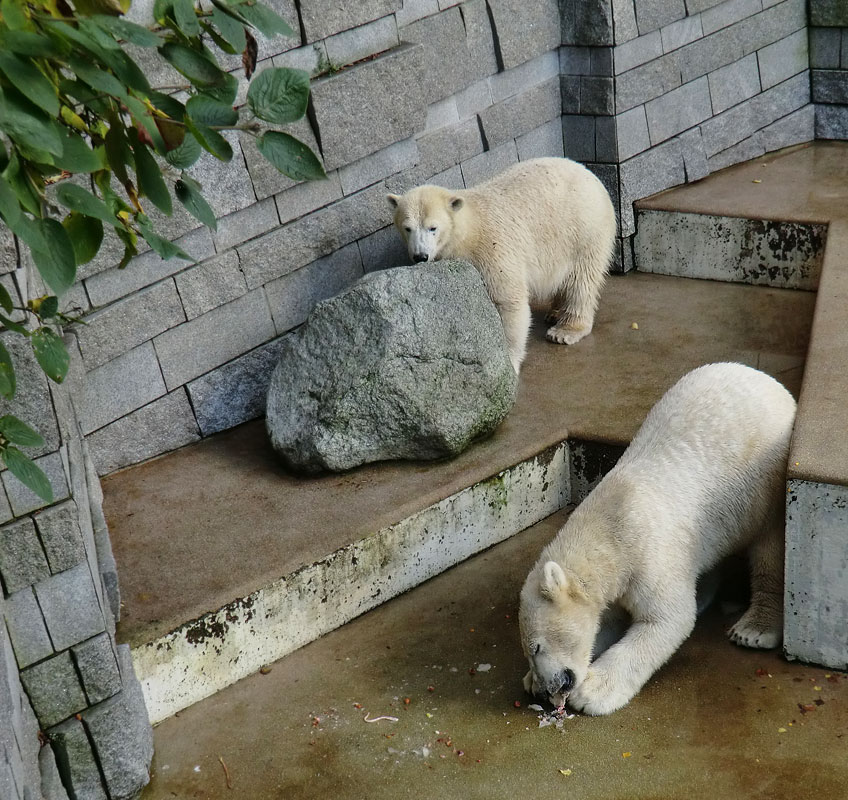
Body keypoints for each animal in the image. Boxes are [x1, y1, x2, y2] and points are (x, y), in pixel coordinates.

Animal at [386, 158, 616, 374]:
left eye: (433, 228)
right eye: (407, 228)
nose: (420, 256)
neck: (469, 230)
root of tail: (590, 174)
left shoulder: (492, 249)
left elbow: (508, 302)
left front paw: (509, 363)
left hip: (583, 230)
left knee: (581, 280)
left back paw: (565, 330)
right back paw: (555, 312)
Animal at [516, 360, 796, 712]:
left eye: (537, 646)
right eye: (528, 652)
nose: (544, 691)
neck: (610, 528)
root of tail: (769, 382)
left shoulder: (648, 551)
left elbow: (665, 619)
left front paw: (592, 692)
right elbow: (605, 620)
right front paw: (530, 680)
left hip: (767, 482)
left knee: (770, 550)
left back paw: (754, 628)